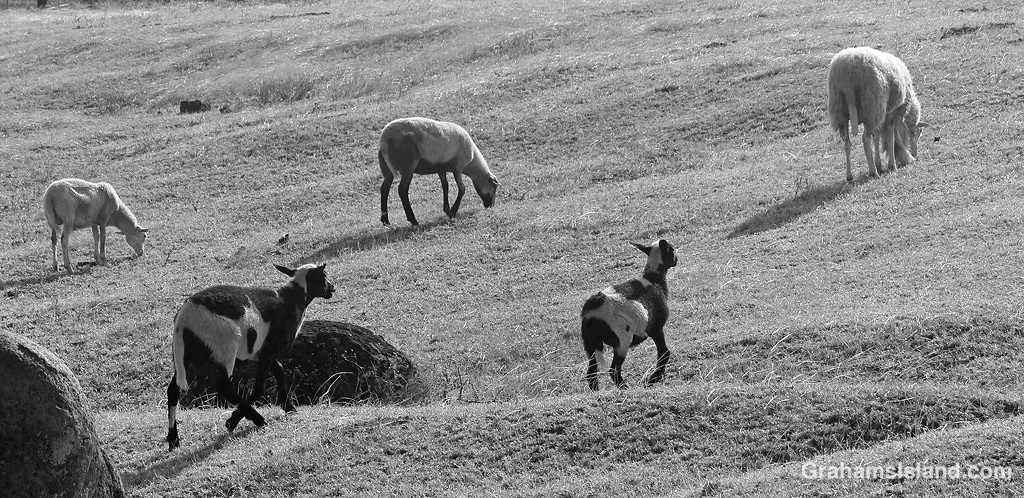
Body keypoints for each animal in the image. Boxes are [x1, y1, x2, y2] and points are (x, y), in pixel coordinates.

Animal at [165, 263, 335, 451]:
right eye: (323, 275)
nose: (332, 288)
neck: (290, 302)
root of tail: (183, 320)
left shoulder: (262, 353)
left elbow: (280, 372)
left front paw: (289, 407)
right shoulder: (268, 351)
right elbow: (260, 387)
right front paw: (232, 420)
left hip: (185, 356)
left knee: (173, 390)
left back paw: (173, 439)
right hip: (225, 349)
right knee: (224, 387)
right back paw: (258, 420)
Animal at [581, 239, 678, 391]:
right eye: (672, 249)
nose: (676, 260)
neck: (654, 280)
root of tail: (592, 311)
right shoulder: (656, 328)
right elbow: (664, 352)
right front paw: (654, 379)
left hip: (590, 343)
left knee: (591, 372)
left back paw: (597, 392)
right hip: (622, 340)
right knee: (614, 369)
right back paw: (625, 388)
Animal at [827, 46, 930, 182]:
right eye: (917, 132)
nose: (914, 153)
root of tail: (848, 76)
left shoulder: (882, 115)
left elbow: (877, 137)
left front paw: (879, 164)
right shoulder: (890, 113)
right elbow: (891, 138)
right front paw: (892, 165)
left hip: (840, 110)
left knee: (847, 142)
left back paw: (849, 176)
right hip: (872, 105)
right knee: (865, 139)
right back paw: (873, 172)